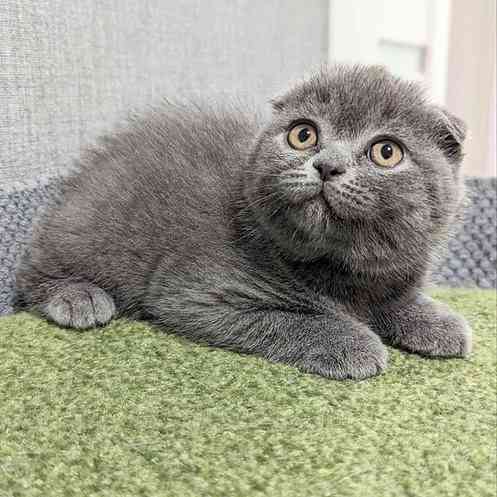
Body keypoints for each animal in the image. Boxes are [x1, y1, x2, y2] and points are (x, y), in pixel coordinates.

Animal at [15, 64, 470, 378]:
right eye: (303, 135)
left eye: (386, 152)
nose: (327, 165)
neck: (339, 269)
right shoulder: (194, 293)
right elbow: (288, 319)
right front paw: (352, 342)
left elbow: (398, 300)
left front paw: (436, 320)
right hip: (91, 228)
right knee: (32, 270)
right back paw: (78, 298)